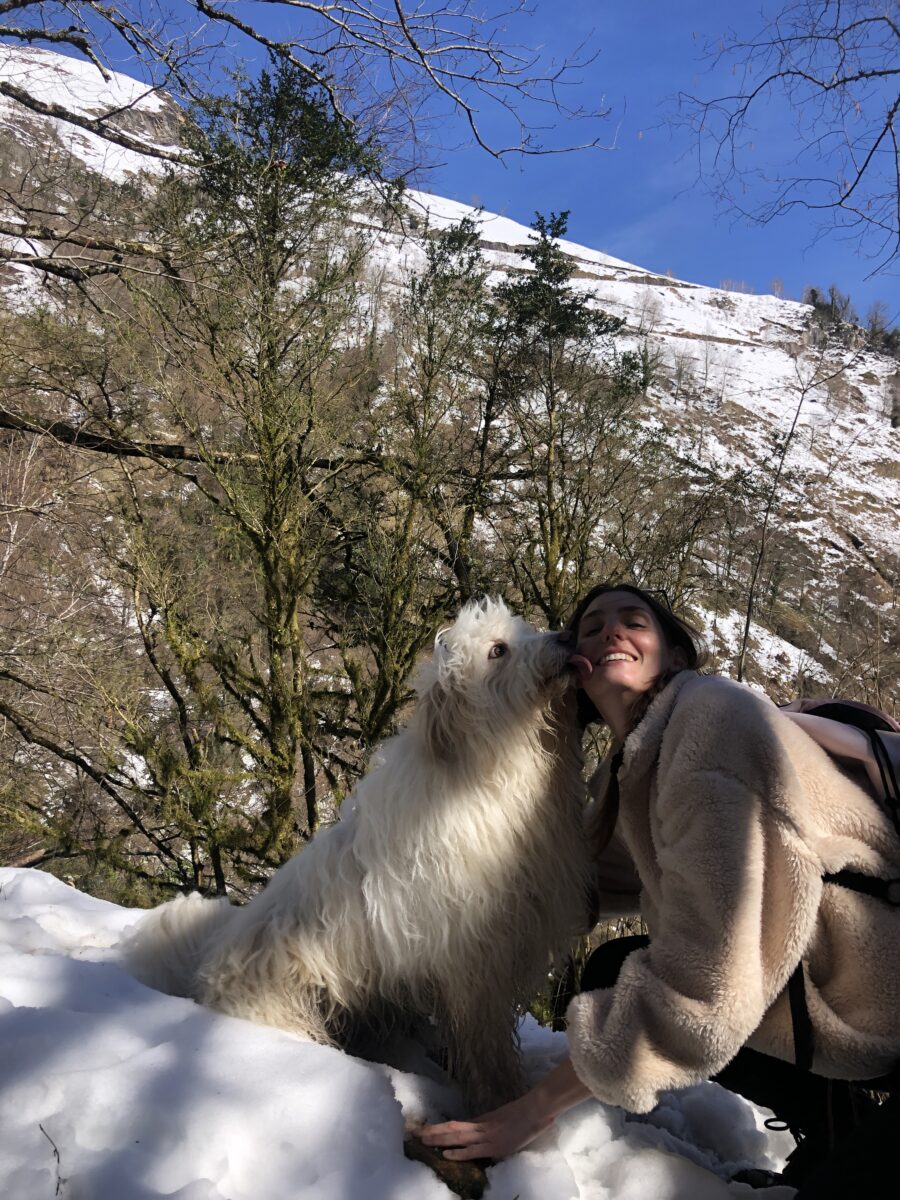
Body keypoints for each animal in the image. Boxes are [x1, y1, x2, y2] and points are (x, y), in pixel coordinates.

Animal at [125, 597, 592, 1104]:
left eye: (522, 629)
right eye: (498, 650)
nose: (567, 638)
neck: (485, 769)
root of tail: (204, 970)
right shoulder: (474, 961)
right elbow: (486, 1043)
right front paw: (500, 1094)